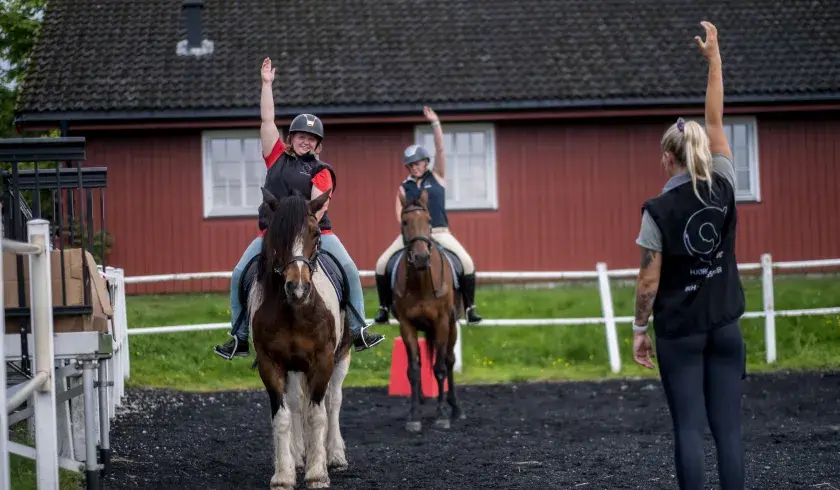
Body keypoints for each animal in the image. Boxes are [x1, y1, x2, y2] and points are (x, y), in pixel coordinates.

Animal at [251, 189, 352, 490]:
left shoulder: (323, 361)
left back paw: (335, 455)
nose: (297, 287)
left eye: (316, 232)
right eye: (276, 234)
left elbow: (317, 414)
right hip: (294, 367)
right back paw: (297, 456)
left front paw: (318, 473)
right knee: (296, 404)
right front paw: (283, 474)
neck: (296, 310)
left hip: (341, 358)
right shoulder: (270, 364)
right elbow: (283, 416)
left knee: (333, 401)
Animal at [394, 189, 466, 430]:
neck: (421, 282)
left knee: (449, 361)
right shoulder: (406, 325)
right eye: (405, 222)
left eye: (428, 220)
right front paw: (414, 415)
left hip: (452, 327)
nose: (421, 258)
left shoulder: (442, 322)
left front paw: (442, 415)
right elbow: (414, 370)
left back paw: (456, 408)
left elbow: (440, 368)